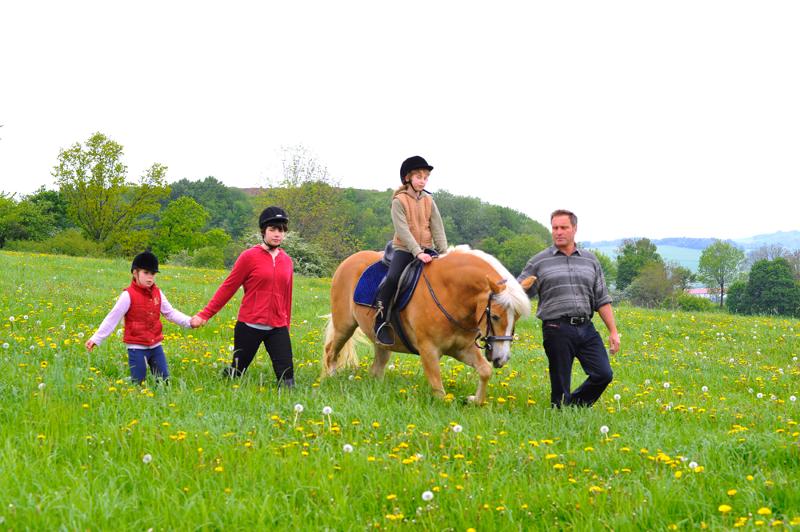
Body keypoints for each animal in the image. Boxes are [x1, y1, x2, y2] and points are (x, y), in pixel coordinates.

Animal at [322, 245, 536, 404]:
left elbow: (485, 371)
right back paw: (328, 378)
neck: (450, 293)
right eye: (496, 317)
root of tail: (347, 262)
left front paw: (474, 400)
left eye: (516, 317)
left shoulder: (462, 349)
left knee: (376, 367)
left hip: (381, 340)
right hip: (344, 326)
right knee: (330, 351)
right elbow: (439, 391)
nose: (502, 358)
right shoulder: (429, 350)